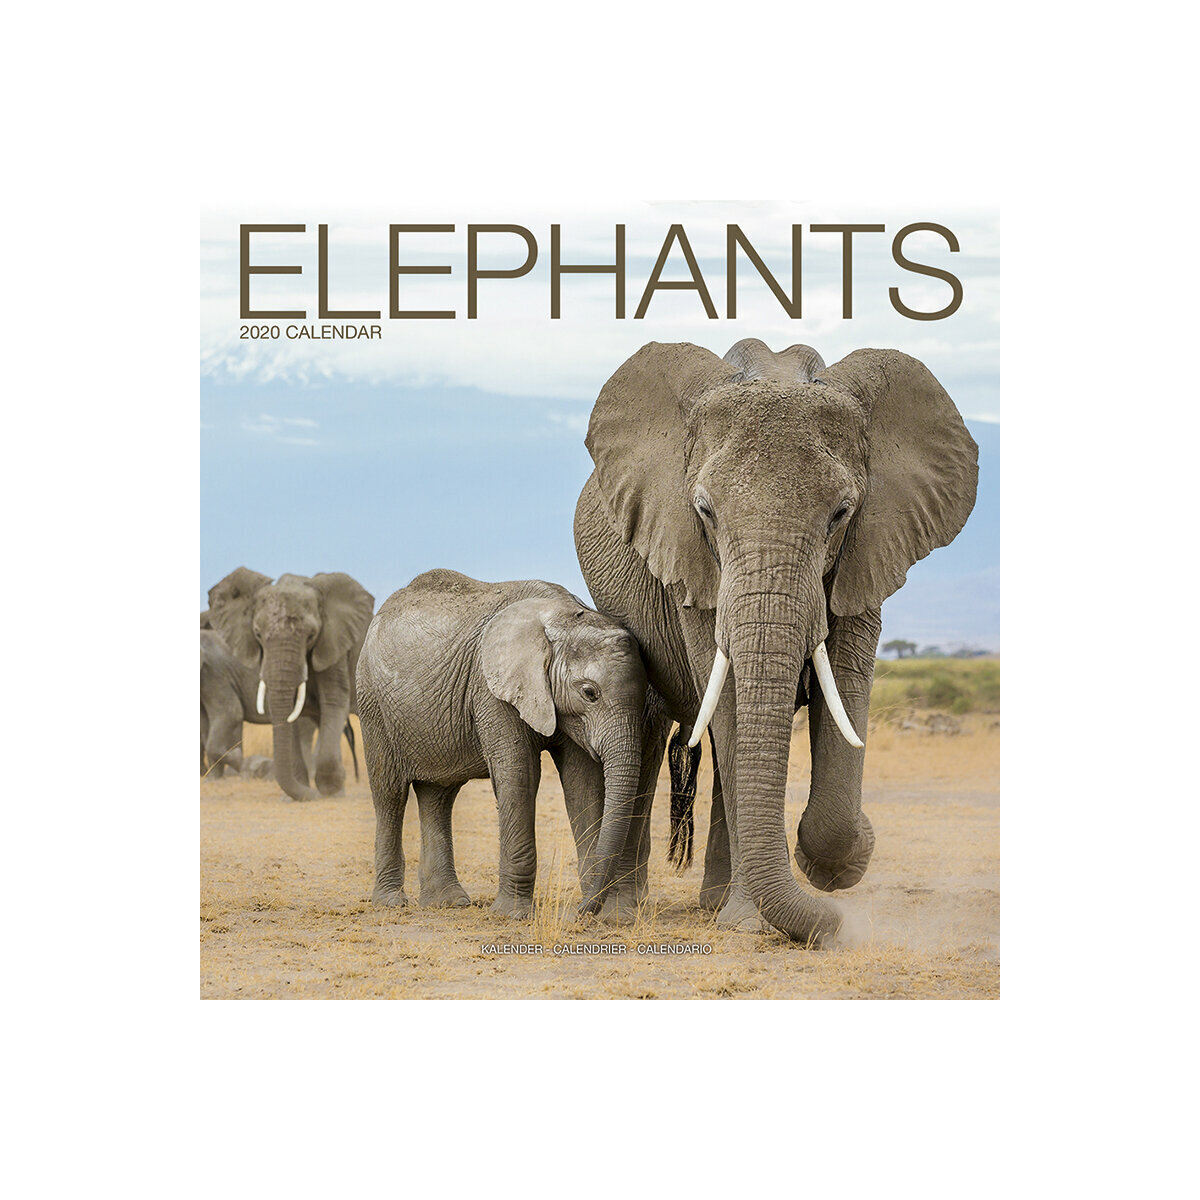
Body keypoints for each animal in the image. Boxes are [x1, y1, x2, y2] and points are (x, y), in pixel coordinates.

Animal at [206, 568, 375, 801]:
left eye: (311, 635)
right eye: (257, 634)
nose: (312, 796)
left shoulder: (333, 646)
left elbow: (333, 701)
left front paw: (330, 792)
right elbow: (289, 713)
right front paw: (299, 794)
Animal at [356, 569, 654, 918]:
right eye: (589, 692)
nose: (581, 911)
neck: (561, 616)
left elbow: (581, 782)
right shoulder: (491, 691)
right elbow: (518, 774)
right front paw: (511, 914)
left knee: (438, 795)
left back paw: (448, 902)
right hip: (372, 703)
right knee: (389, 793)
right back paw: (390, 902)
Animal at [573, 337, 978, 944]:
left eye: (840, 513)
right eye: (705, 511)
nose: (834, 923)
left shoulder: (866, 552)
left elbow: (845, 689)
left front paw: (836, 863)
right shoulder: (695, 567)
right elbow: (731, 703)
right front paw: (758, 920)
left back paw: (714, 903)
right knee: (651, 728)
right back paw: (631, 911)